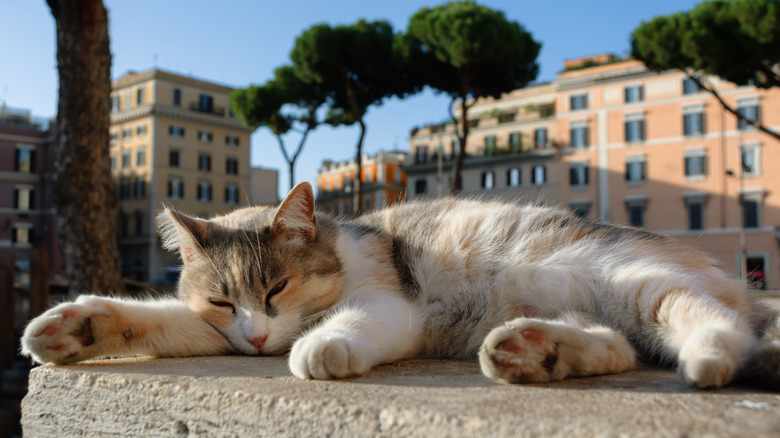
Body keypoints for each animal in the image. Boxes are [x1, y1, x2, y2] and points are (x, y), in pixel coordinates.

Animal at [21, 183, 776, 388]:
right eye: (222, 300)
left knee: (717, 325)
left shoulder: (392, 304)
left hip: (640, 284)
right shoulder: (214, 330)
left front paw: (322, 348)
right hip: (604, 311)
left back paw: (708, 358)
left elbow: (351, 323)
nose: (259, 339)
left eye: (277, 289)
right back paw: (534, 351)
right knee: (615, 348)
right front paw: (72, 328)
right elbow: (155, 319)